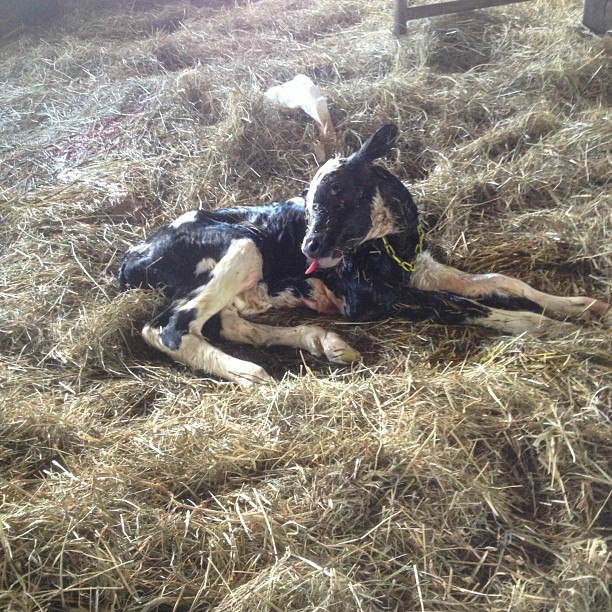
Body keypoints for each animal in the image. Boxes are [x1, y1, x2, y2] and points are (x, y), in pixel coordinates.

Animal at [118, 124, 610, 386]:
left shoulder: (420, 271)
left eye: (337, 192)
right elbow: (463, 305)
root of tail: (134, 255)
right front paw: (554, 331)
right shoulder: (368, 298)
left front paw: (580, 307)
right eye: (308, 200)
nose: (307, 247)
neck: (394, 244)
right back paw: (249, 373)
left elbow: (500, 282)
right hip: (240, 246)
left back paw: (323, 341)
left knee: (229, 324)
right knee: (166, 328)